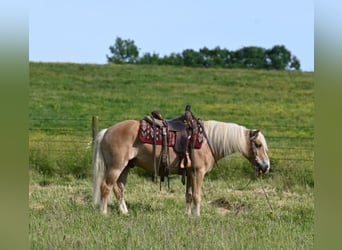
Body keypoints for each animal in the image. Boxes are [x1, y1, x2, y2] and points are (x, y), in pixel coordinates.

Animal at [91, 120, 270, 216]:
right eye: (258, 145)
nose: (266, 166)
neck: (208, 142)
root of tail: (107, 131)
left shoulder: (190, 174)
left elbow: (189, 195)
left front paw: (187, 215)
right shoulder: (198, 173)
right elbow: (197, 196)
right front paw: (197, 216)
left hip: (126, 167)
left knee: (119, 188)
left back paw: (125, 212)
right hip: (116, 166)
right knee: (106, 187)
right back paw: (103, 213)